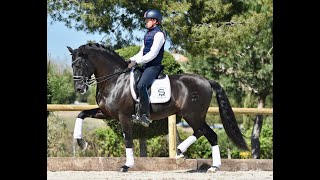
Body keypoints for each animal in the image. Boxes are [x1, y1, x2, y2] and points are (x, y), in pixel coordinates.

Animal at [67, 43, 248, 173]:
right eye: (72, 65)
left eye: (81, 64)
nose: (79, 89)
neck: (115, 79)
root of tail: (206, 81)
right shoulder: (107, 113)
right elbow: (81, 114)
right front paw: (81, 142)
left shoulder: (123, 116)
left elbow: (127, 138)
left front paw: (127, 165)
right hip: (194, 115)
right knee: (209, 134)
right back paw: (209, 165)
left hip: (192, 114)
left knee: (204, 132)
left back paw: (185, 154)